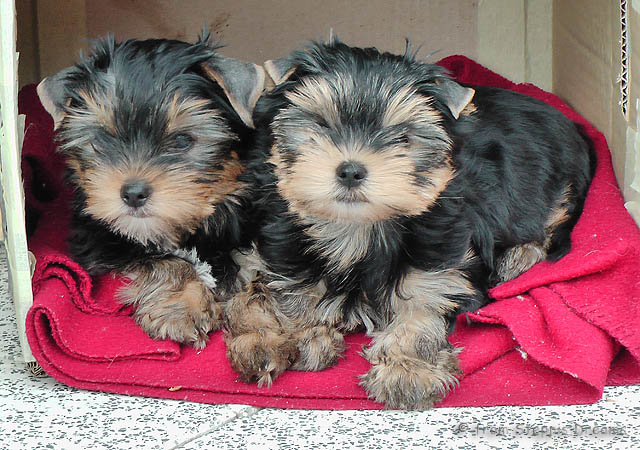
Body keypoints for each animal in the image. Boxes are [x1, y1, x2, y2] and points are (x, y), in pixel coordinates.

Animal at [37, 32, 265, 349]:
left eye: (182, 141)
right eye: (102, 139)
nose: (133, 193)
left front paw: (260, 335)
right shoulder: (99, 242)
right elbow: (163, 259)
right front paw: (181, 309)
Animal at [223, 40, 596, 409]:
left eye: (403, 139)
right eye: (320, 124)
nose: (351, 170)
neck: (356, 229)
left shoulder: (442, 262)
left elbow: (422, 305)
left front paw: (407, 369)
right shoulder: (273, 247)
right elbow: (264, 288)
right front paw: (292, 334)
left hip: (553, 183)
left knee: (551, 219)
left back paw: (519, 258)